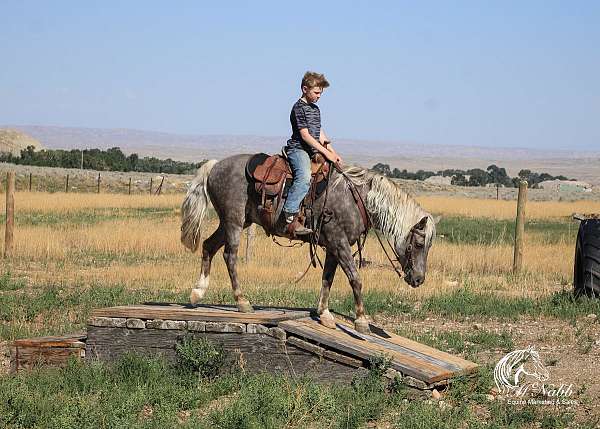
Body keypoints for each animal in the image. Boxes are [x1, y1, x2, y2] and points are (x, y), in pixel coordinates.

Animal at [179, 155, 436, 334]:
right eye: (419, 243)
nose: (419, 279)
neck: (357, 199)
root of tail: (214, 166)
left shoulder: (333, 246)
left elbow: (327, 278)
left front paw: (325, 315)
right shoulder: (340, 243)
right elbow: (355, 279)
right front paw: (362, 321)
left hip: (235, 222)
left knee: (208, 246)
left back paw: (197, 293)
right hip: (233, 221)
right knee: (230, 256)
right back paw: (242, 302)